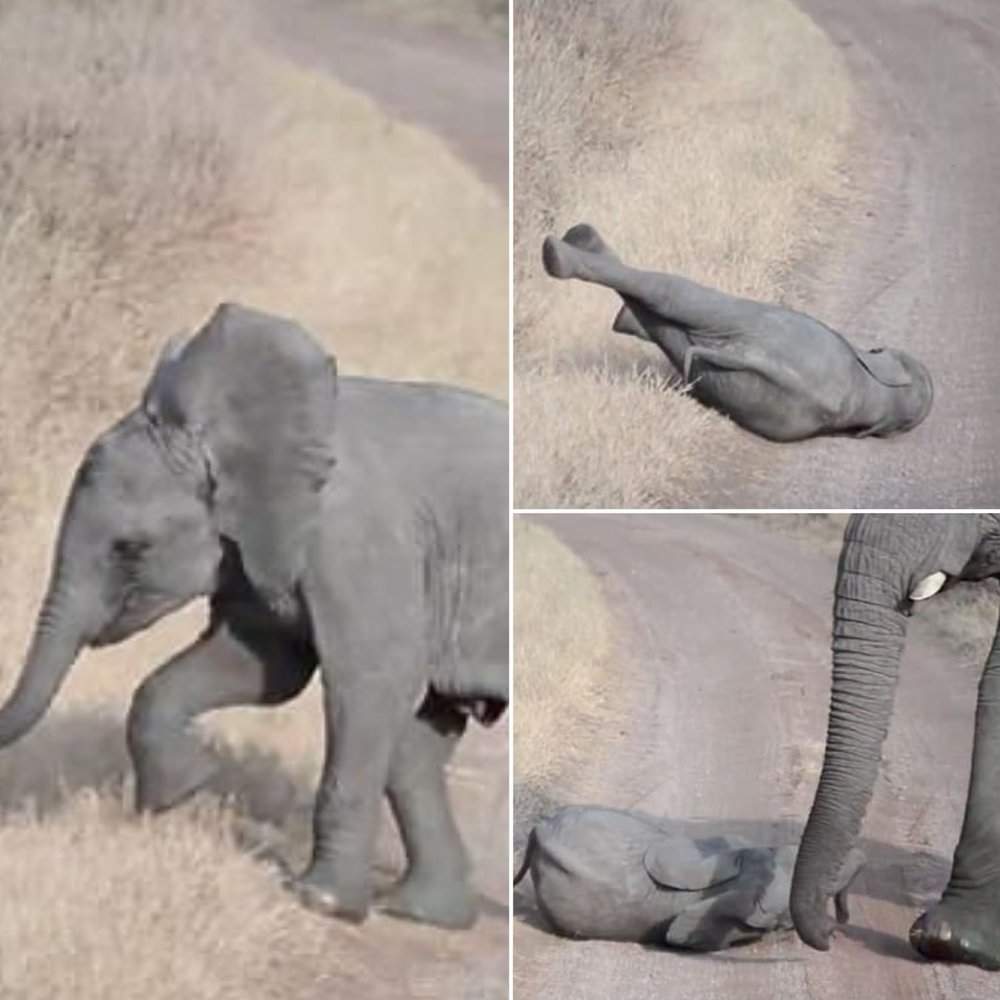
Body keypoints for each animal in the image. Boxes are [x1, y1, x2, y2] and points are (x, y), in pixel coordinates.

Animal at [0, 302, 508, 930]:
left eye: (129, 549)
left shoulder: (355, 540)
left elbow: (368, 681)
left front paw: (320, 904)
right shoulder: (251, 543)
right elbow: (264, 666)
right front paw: (179, 794)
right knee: (421, 740)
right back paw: (422, 912)